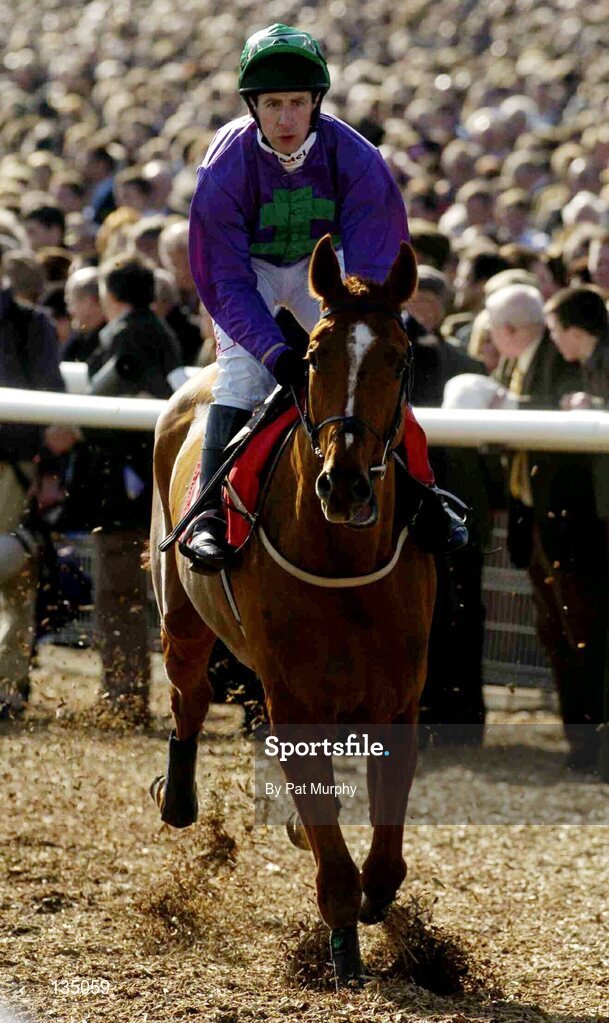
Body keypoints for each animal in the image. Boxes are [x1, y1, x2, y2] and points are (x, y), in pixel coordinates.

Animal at [149, 235, 436, 987]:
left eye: (400, 358)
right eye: (311, 358)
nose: (346, 482)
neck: (342, 559)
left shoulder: (399, 696)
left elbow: (385, 853)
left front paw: (376, 901)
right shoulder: (293, 692)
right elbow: (331, 851)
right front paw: (342, 946)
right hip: (181, 618)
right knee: (189, 695)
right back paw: (178, 798)